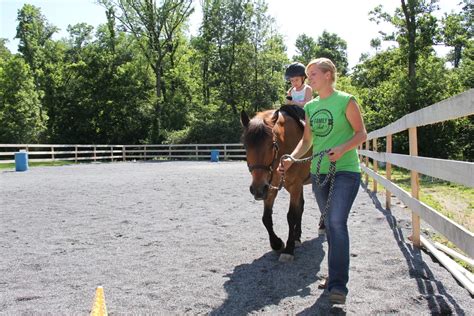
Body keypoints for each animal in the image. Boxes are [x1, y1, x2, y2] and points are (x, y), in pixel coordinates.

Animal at [241, 108, 312, 262]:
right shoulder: (270, 188)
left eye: (272, 145)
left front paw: (289, 249)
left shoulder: (295, 186)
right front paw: (277, 244)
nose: (257, 189)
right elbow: (266, 218)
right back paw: (297, 237)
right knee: (302, 206)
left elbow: (291, 216)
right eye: (245, 146)